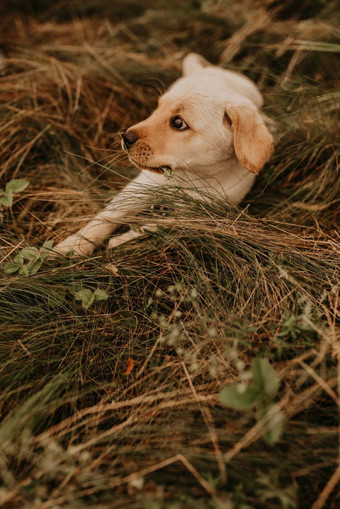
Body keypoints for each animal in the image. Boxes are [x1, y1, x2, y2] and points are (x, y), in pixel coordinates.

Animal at [55, 52, 274, 254]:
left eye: (178, 123)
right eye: (157, 107)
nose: (125, 137)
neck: (193, 175)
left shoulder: (202, 214)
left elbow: (161, 224)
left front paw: (122, 240)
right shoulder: (143, 185)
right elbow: (108, 215)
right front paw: (71, 246)